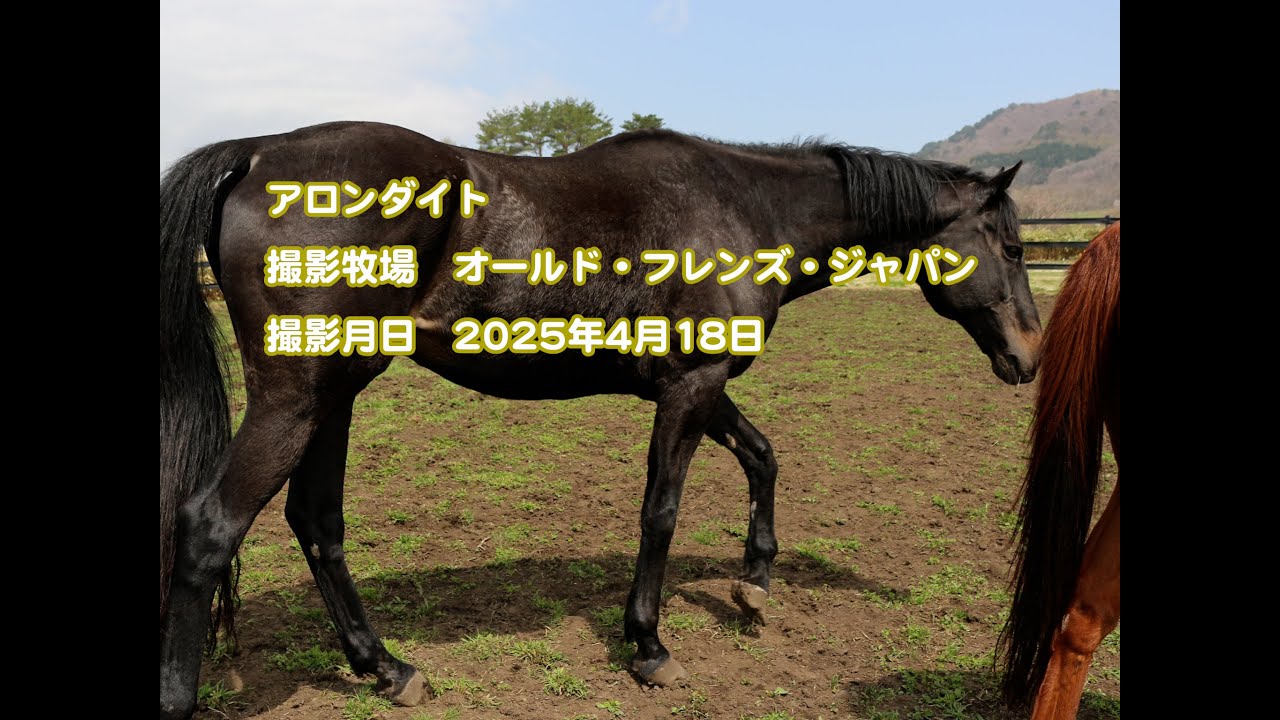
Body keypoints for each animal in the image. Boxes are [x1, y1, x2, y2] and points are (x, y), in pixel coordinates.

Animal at [159, 121, 1042, 718]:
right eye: (1011, 246)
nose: (1030, 355)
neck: (739, 209)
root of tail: (259, 151)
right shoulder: (691, 387)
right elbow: (662, 511)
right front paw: (649, 646)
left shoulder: (696, 384)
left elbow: (763, 455)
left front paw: (755, 582)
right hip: (297, 400)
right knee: (210, 527)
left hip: (332, 397)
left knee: (316, 523)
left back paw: (388, 669)